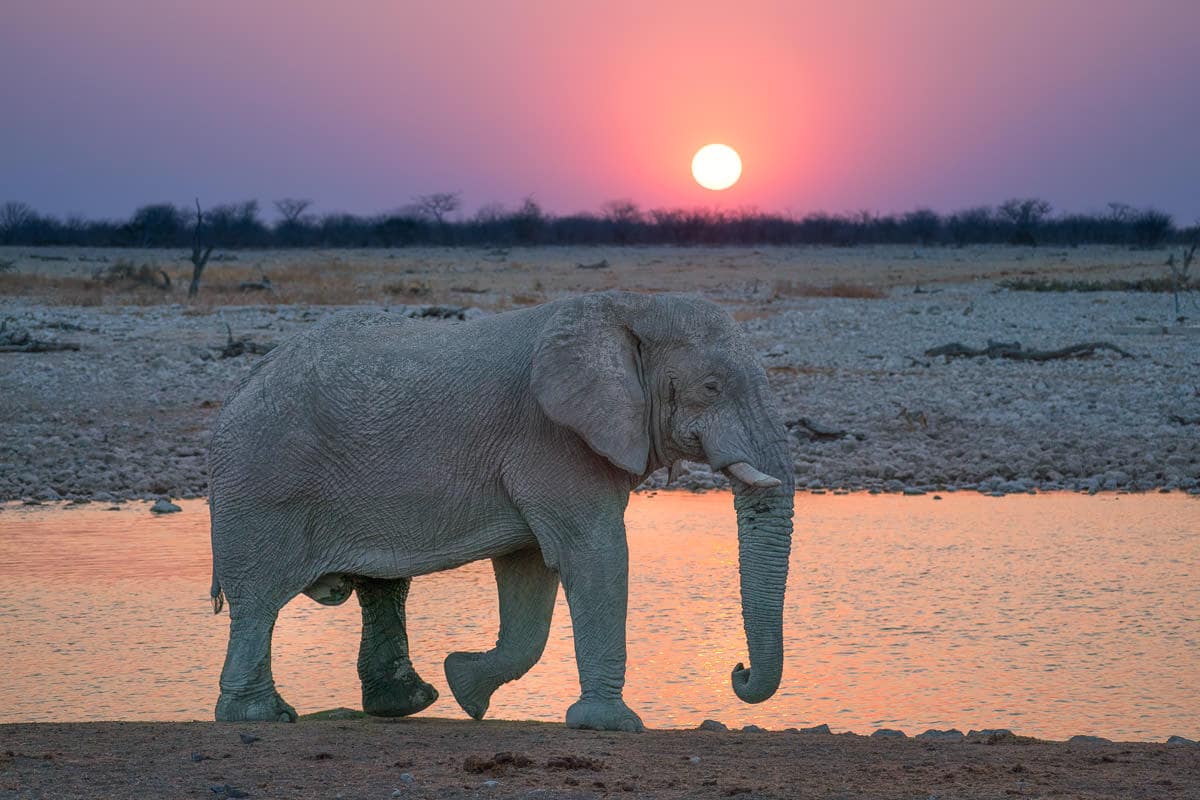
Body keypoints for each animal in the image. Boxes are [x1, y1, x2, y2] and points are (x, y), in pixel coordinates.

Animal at [210, 289, 792, 734]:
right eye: (712, 387)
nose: (738, 672)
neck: (626, 306)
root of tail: (241, 386)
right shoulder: (551, 438)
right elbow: (594, 556)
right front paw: (612, 725)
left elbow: (530, 568)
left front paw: (465, 687)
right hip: (261, 485)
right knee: (258, 600)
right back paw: (260, 717)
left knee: (383, 587)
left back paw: (409, 703)